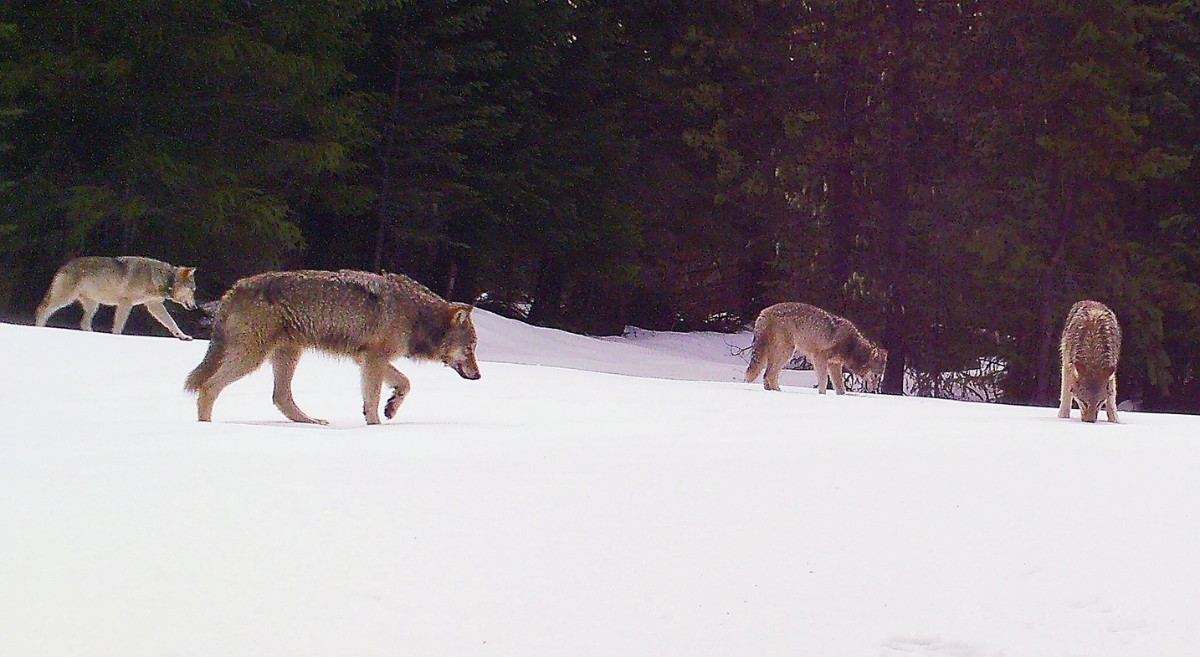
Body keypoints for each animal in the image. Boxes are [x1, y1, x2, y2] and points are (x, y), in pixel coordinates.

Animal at [35, 256, 198, 340]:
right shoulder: (126, 302)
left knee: (84, 323)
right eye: (193, 290)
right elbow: (119, 325)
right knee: (41, 310)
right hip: (64, 299)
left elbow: (172, 323)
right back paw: (38, 328)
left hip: (93, 306)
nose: (195, 306)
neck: (163, 279)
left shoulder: (153, 305)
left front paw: (183, 336)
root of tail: (63, 266)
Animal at [185, 269, 481, 425]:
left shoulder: (368, 359)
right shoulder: (374, 359)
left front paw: (391, 407)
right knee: (208, 387)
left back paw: (311, 422)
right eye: (470, 348)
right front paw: (376, 427)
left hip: (288, 356)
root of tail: (234, 289)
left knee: (280, 397)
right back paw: (205, 428)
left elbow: (405, 383)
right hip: (251, 357)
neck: (416, 315)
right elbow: (374, 399)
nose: (479, 376)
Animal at [745, 302, 887, 394]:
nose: (874, 390)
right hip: (786, 353)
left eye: (880, 377)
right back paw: (779, 392)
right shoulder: (819, 359)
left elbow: (840, 388)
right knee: (769, 375)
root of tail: (763, 312)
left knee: (766, 375)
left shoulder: (834, 365)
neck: (851, 346)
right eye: (875, 375)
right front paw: (822, 395)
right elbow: (823, 382)